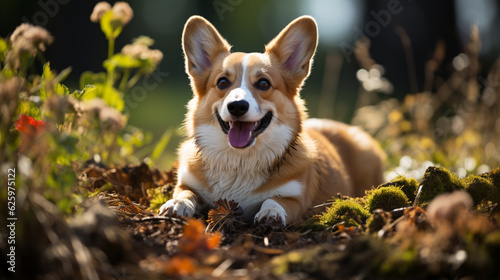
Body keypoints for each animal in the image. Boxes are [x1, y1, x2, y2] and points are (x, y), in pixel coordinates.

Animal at [158, 15, 384, 225]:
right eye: (222, 82)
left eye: (263, 83)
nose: (237, 106)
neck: (240, 162)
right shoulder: (186, 183)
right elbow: (186, 192)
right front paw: (177, 204)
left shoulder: (296, 200)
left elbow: (274, 200)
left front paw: (271, 213)